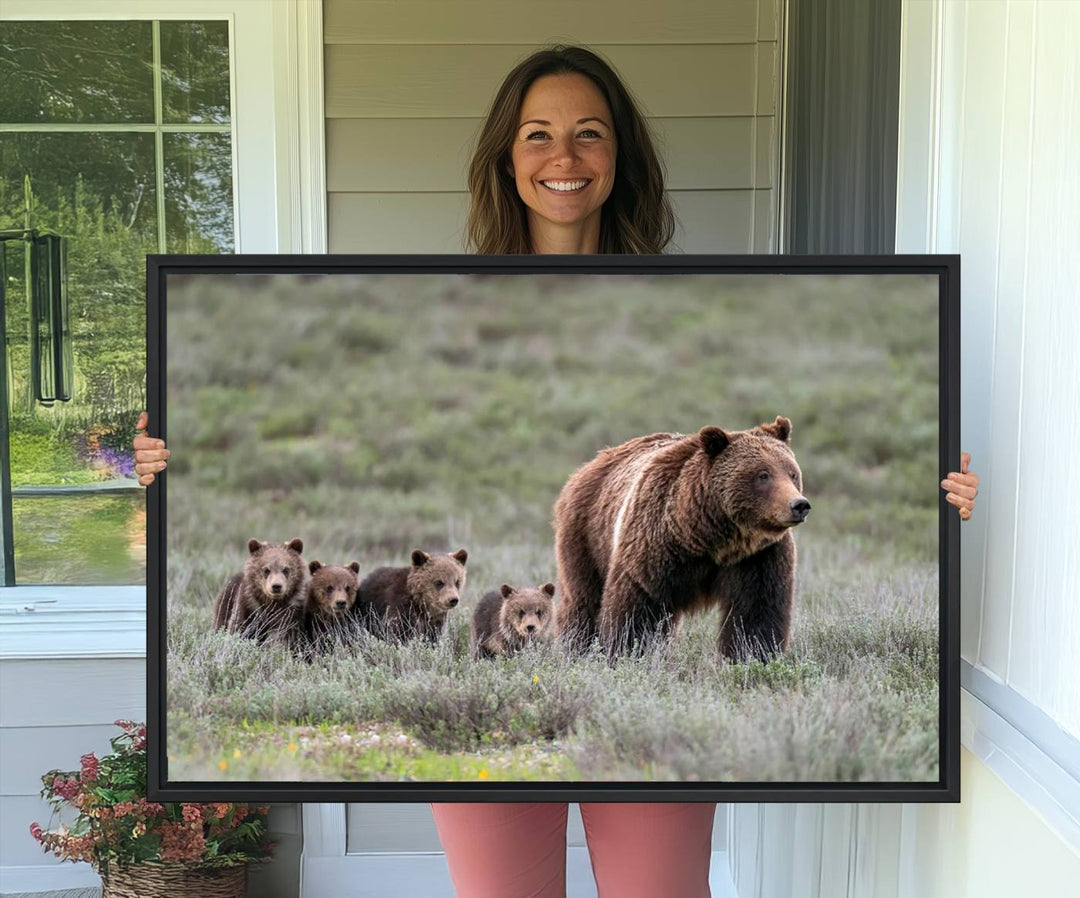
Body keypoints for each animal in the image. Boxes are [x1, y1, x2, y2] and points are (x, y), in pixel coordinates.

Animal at [557, 417, 812, 661]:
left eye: (792, 473)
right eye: (763, 475)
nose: (799, 505)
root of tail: (591, 464)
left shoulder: (758, 556)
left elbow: (756, 613)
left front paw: (752, 656)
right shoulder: (655, 546)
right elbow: (636, 608)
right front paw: (627, 653)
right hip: (587, 535)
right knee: (583, 600)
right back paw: (575, 648)